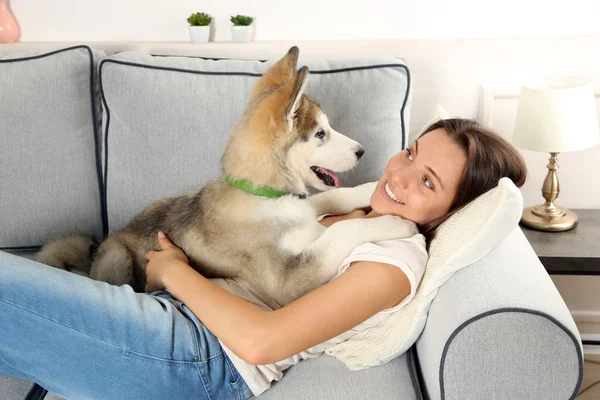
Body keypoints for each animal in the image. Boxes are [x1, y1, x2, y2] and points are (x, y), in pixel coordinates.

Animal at [34, 48, 418, 308]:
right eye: (320, 134)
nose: (362, 151)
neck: (263, 195)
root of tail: (95, 254)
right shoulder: (286, 281)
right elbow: (342, 229)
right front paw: (392, 223)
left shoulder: (304, 205)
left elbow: (331, 197)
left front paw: (373, 190)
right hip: (119, 257)